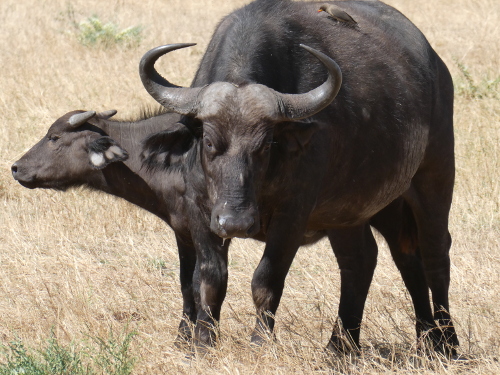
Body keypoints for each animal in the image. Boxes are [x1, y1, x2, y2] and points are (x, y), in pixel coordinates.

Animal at [139, 0, 458, 356]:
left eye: (265, 145)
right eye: (208, 142)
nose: (235, 222)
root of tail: (436, 67)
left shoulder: (293, 214)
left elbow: (265, 280)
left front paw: (259, 343)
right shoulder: (199, 210)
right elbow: (209, 280)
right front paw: (203, 343)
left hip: (435, 177)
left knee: (434, 253)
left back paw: (446, 342)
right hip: (355, 210)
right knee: (372, 260)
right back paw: (349, 346)